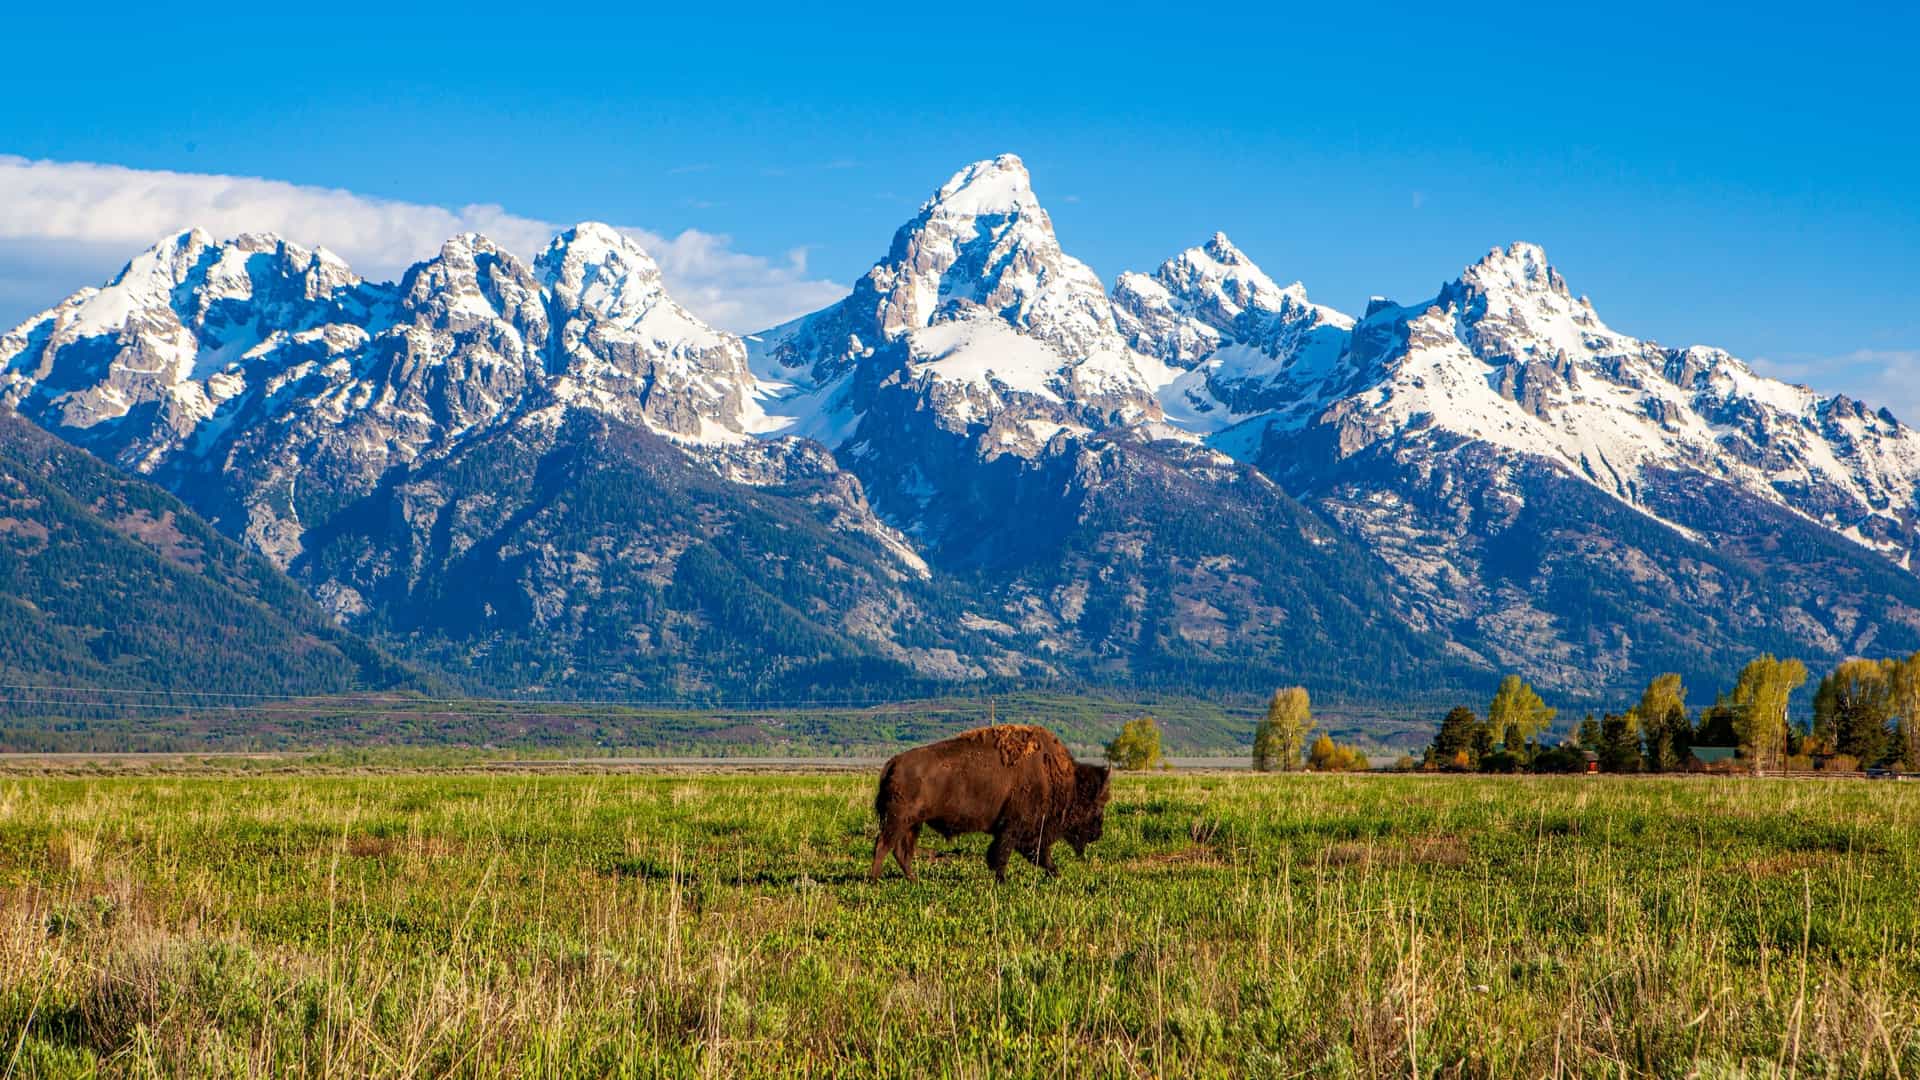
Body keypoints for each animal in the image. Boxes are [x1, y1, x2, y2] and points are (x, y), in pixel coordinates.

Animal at [869, 724, 1112, 882]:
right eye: (1095, 803)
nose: (1097, 833)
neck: (1059, 777)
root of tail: (893, 762)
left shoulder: (1028, 833)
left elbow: (1039, 856)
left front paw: (1056, 874)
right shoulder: (1015, 828)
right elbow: (1003, 854)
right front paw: (1002, 880)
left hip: (912, 824)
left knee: (901, 851)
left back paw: (914, 880)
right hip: (898, 821)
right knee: (883, 846)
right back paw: (874, 881)